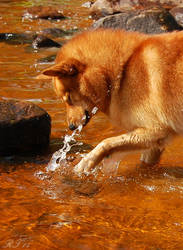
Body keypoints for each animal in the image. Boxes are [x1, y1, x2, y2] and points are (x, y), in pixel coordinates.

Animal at [41, 28, 183, 174]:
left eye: (68, 98)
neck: (122, 72)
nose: (71, 127)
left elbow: (106, 142)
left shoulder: (157, 130)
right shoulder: (156, 141)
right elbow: (145, 163)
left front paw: (86, 162)